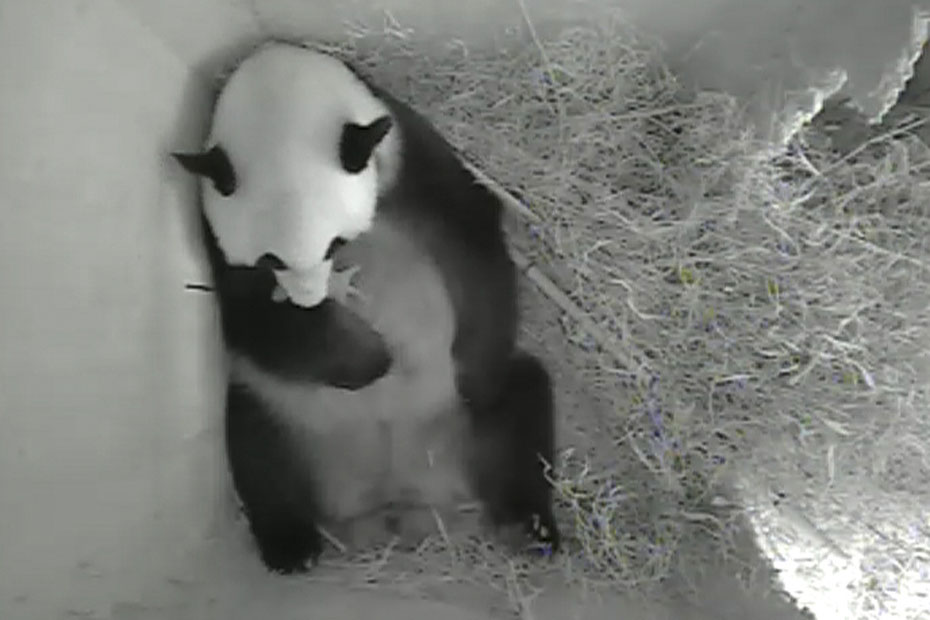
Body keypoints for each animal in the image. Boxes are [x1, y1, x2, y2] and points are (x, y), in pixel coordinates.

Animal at [172, 40, 559, 574]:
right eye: (271, 258)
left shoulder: (409, 156)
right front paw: (371, 359)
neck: (282, 95)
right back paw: (293, 546)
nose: (312, 300)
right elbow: (252, 315)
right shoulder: (218, 238)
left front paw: (470, 365)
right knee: (256, 450)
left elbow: (471, 233)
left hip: (473, 421)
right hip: (279, 414)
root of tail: (397, 500)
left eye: (336, 243)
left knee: (521, 406)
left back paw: (528, 527)